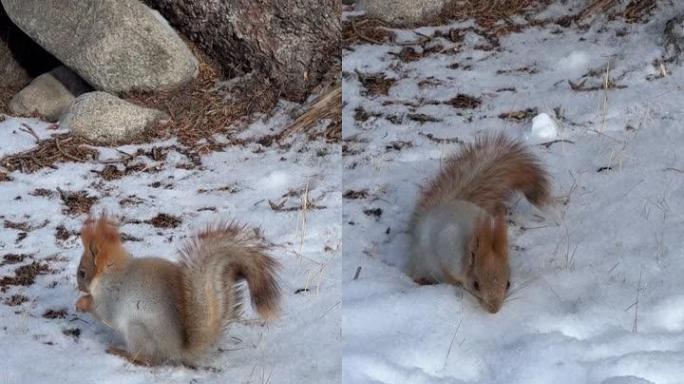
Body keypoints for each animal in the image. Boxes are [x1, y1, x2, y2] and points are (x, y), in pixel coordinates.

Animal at [73, 214, 280, 368]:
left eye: (82, 273)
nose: (79, 287)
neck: (110, 272)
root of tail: (179, 350)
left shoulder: (110, 297)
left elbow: (103, 313)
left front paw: (82, 302)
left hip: (137, 330)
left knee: (149, 359)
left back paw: (121, 352)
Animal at [406, 134, 552, 314]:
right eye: (476, 284)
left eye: (508, 283)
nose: (494, 310)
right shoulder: (446, 250)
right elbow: (448, 273)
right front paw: (455, 285)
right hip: (422, 261)